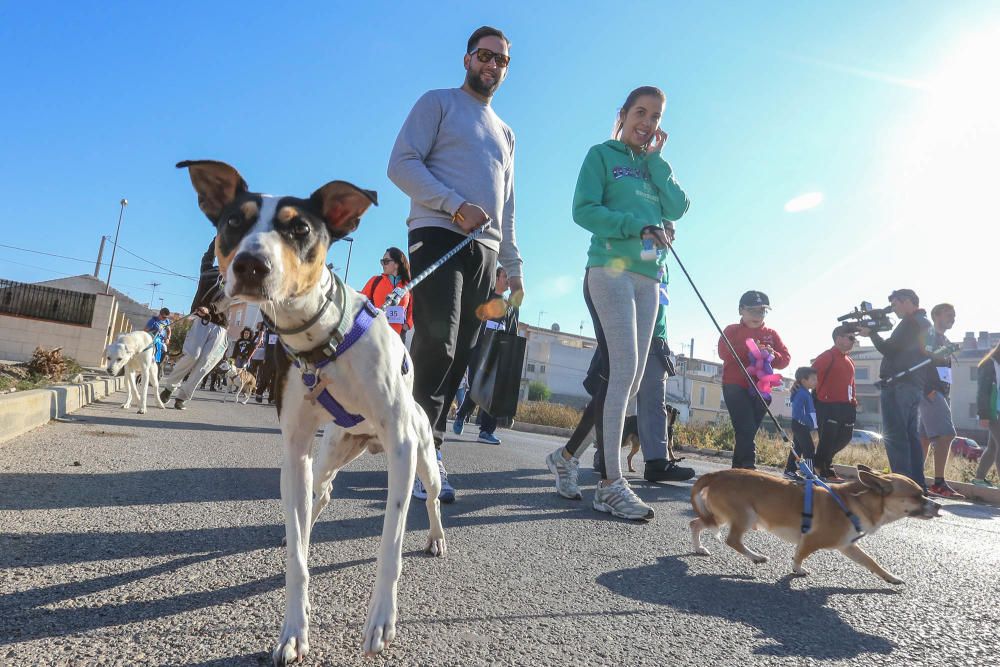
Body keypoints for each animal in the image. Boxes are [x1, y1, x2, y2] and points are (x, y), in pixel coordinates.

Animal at [178, 159, 448, 664]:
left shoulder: (402, 449)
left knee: (433, 498)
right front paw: (293, 630)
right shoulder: (297, 450)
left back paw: (437, 538)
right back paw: (301, 524)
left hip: (422, 454)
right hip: (331, 453)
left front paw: (381, 621)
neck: (321, 340)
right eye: (233, 222)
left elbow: (391, 542)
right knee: (320, 494)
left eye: (300, 228)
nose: (251, 264)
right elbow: (298, 559)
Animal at [692, 464, 940, 584]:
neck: (856, 501)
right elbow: (801, 554)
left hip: (719, 516)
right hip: (745, 516)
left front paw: (891, 577)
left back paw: (698, 548)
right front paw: (797, 569)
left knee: (695, 523)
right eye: (917, 495)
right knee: (732, 540)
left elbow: (871, 562)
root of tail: (718, 474)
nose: (938, 506)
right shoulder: (812, 539)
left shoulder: (848, 546)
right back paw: (756, 556)